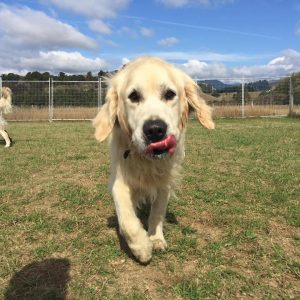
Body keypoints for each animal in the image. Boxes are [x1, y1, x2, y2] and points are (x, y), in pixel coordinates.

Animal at [93, 56, 213, 262]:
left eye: (169, 94)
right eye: (133, 96)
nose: (155, 129)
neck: (147, 161)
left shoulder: (165, 181)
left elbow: (157, 212)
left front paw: (155, 238)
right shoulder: (119, 180)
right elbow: (127, 219)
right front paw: (141, 247)